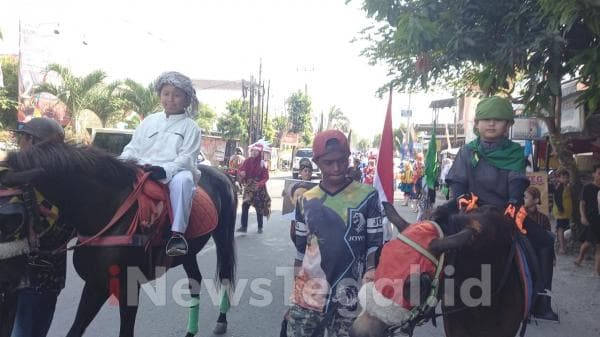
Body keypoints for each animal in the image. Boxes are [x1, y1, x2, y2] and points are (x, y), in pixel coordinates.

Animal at [0, 142, 239, 336]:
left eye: (13, 218)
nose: (7, 282)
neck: (108, 215)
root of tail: (223, 174)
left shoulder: (128, 288)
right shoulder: (96, 284)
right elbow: (75, 330)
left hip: (223, 236)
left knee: (225, 276)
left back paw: (221, 321)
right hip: (189, 254)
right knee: (195, 282)